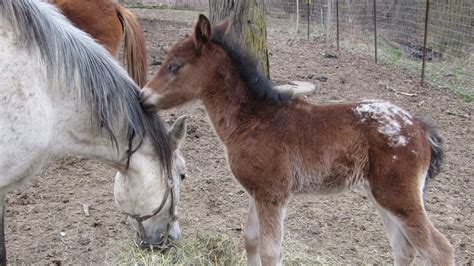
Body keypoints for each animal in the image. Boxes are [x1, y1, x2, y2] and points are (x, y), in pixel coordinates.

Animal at [139, 15, 454, 266]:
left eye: (174, 66)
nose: (143, 97)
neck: (254, 120)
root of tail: (420, 127)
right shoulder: (257, 192)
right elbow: (251, 241)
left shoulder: (272, 195)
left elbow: (270, 252)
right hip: (381, 195)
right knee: (404, 249)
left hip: (399, 195)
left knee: (440, 250)